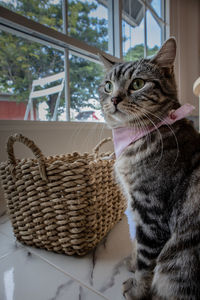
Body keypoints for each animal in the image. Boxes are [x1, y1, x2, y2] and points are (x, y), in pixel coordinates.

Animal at [98, 38, 200, 300]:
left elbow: (146, 261)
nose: (114, 99)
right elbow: (137, 247)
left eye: (137, 84)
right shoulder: (136, 207)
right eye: (108, 86)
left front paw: (136, 288)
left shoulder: (150, 210)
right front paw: (132, 262)